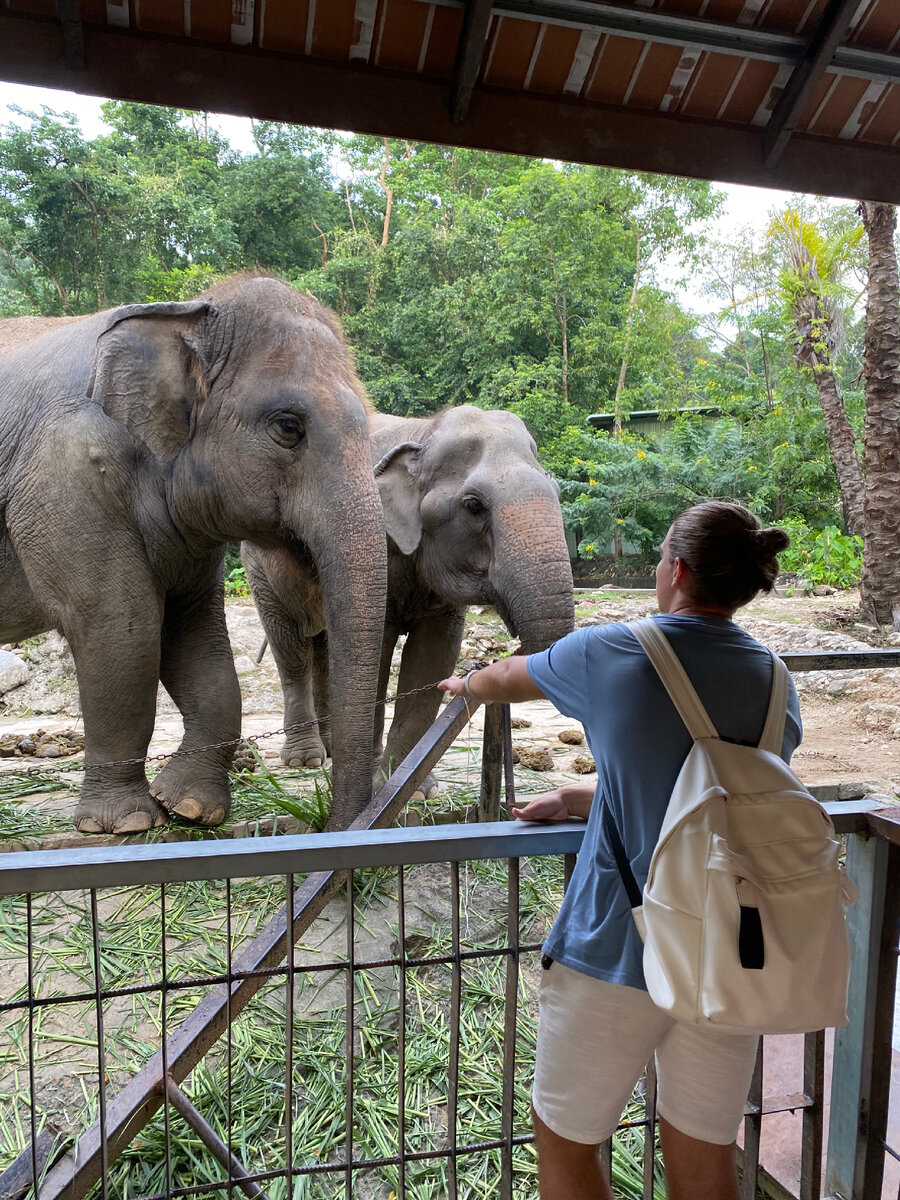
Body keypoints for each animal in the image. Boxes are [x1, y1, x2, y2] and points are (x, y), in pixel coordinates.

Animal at [0, 274, 388, 830]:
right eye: (288, 427)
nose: (328, 824)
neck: (189, 314)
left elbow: (195, 635)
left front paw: (191, 808)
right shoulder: (65, 480)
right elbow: (122, 628)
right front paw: (122, 822)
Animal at [243, 403, 573, 796]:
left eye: (556, 490)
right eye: (473, 505)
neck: (424, 434)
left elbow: (432, 657)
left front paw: (412, 788)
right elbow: (377, 653)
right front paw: (377, 786)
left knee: (324, 649)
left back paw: (330, 749)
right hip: (258, 565)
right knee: (290, 649)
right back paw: (305, 759)